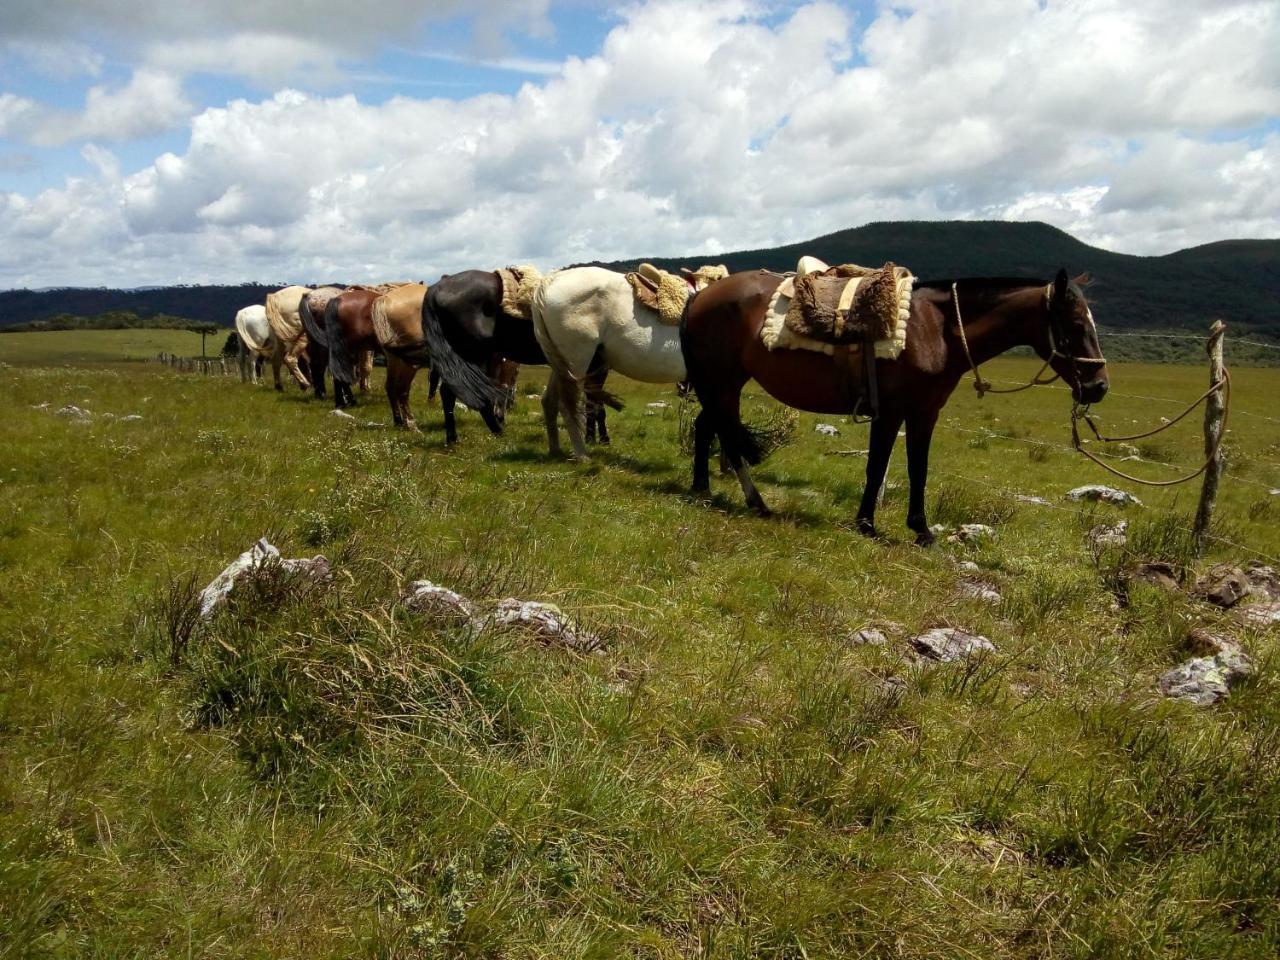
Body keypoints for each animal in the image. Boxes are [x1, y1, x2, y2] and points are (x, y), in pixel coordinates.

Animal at [532, 263, 732, 458]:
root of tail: (551, 280)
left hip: (561, 364)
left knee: (549, 401)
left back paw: (555, 450)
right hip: (576, 361)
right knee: (567, 405)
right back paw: (582, 455)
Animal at [680, 268, 1111, 547]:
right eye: (1075, 325)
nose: (1099, 387)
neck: (935, 329)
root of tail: (701, 295)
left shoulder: (924, 412)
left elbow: (918, 468)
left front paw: (921, 530)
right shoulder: (889, 412)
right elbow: (877, 466)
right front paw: (866, 524)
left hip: (724, 384)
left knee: (707, 428)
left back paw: (703, 489)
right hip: (720, 382)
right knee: (722, 434)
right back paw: (754, 502)